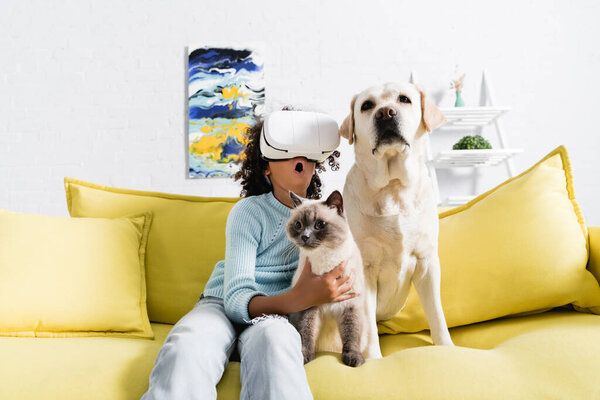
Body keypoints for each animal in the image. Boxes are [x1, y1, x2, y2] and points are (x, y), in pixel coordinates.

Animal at [288, 189, 380, 368]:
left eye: (319, 225)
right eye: (298, 225)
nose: (305, 236)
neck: (325, 260)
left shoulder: (350, 306)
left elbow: (351, 336)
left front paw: (353, 359)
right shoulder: (309, 306)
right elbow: (306, 334)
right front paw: (305, 358)